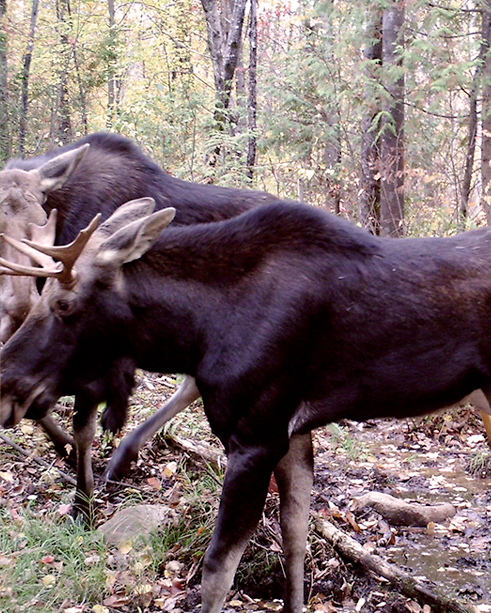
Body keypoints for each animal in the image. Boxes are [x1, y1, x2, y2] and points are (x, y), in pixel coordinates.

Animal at [0, 198, 491, 608]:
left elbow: (218, 570)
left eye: (64, 304)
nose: (6, 385)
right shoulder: (291, 434)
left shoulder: (254, 439)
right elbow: (294, 541)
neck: (198, 330)